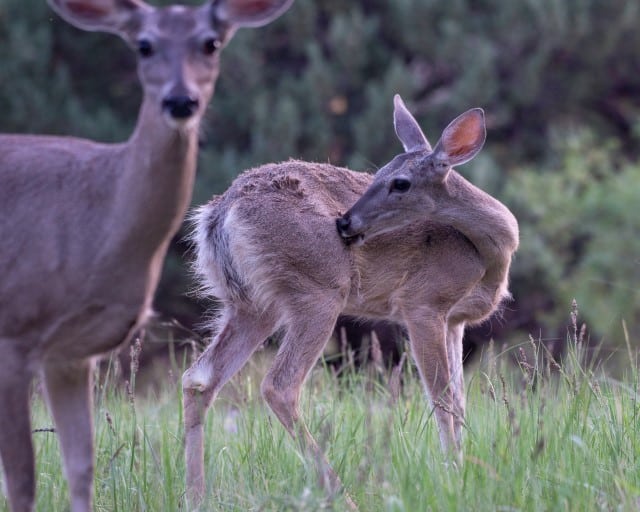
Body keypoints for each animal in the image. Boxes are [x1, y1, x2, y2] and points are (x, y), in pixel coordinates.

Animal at [0, 1, 294, 512]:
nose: (180, 101)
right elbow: (22, 479)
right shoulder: (13, 333)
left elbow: (81, 467)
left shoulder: (72, 351)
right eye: (144, 45)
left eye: (211, 43)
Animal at [181, 94, 520, 506]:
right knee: (279, 385)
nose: (345, 222)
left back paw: (195, 497)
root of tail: (219, 214)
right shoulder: (422, 304)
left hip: (249, 303)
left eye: (399, 182)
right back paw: (342, 495)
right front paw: (454, 476)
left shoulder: (456, 321)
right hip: (319, 290)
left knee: (198, 379)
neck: (491, 253)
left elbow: (459, 399)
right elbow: (443, 399)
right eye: (375, 176)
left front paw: (465, 467)